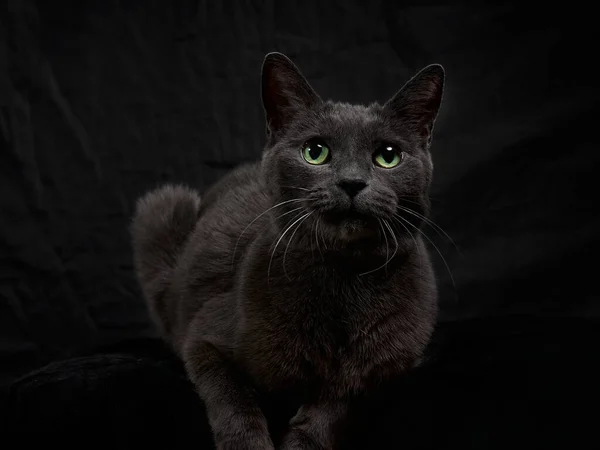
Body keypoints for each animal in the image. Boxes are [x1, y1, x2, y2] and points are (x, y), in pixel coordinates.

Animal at [131, 51, 442, 448]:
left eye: (388, 156)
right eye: (315, 152)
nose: (352, 182)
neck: (344, 279)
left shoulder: (380, 366)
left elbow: (337, 397)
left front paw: (303, 440)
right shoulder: (203, 337)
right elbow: (231, 394)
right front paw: (247, 444)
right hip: (163, 208)